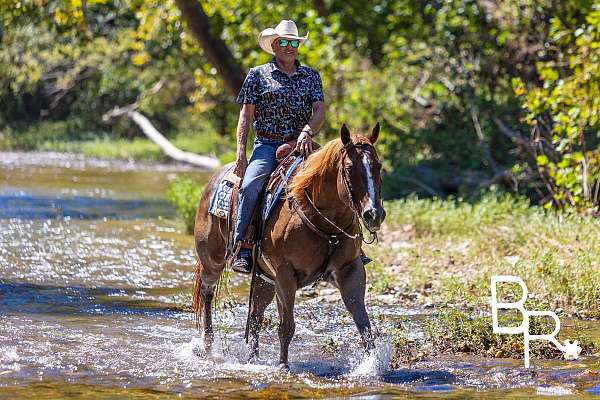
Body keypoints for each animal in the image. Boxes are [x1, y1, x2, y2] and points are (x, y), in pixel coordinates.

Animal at [195, 122, 386, 368]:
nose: (374, 214)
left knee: (255, 315)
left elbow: (364, 325)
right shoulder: (286, 274)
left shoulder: (351, 270)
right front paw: (283, 366)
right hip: (213, 261)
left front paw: (373, 366)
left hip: (264, 277)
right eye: (350, 168)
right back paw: (208, 346)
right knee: (207, 293)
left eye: (378, 166)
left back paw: (253, 358)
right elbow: (286, 326)